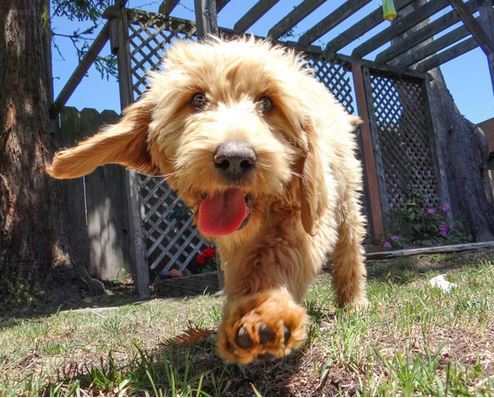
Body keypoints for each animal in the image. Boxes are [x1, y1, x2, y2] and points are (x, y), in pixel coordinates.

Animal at [48, 36, 368, 364]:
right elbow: (245, 268)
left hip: (345, 197)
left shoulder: (305, 211)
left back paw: (353, 301)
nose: (235, 159)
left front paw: (264, 313)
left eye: (267, 103)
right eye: (197, 99)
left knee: (349, 247)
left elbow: (277, 255)